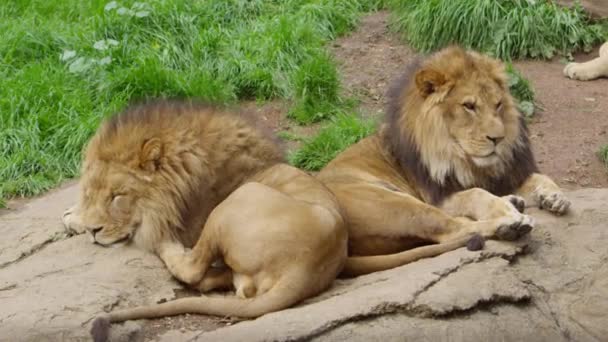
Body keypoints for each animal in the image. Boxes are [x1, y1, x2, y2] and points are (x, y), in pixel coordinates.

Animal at [318, 45, 568, 276]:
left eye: (498, 105)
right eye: (469, 106)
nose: (498, 138)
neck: (465, 161)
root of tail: (344, 251)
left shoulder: (504, 175)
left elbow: (539, 177)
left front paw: (555, 196)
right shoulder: (437, 196)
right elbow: (475, 194)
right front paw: (504, 210)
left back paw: (514, 203)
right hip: (398, 204)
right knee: (455, 230)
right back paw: (510, 224)